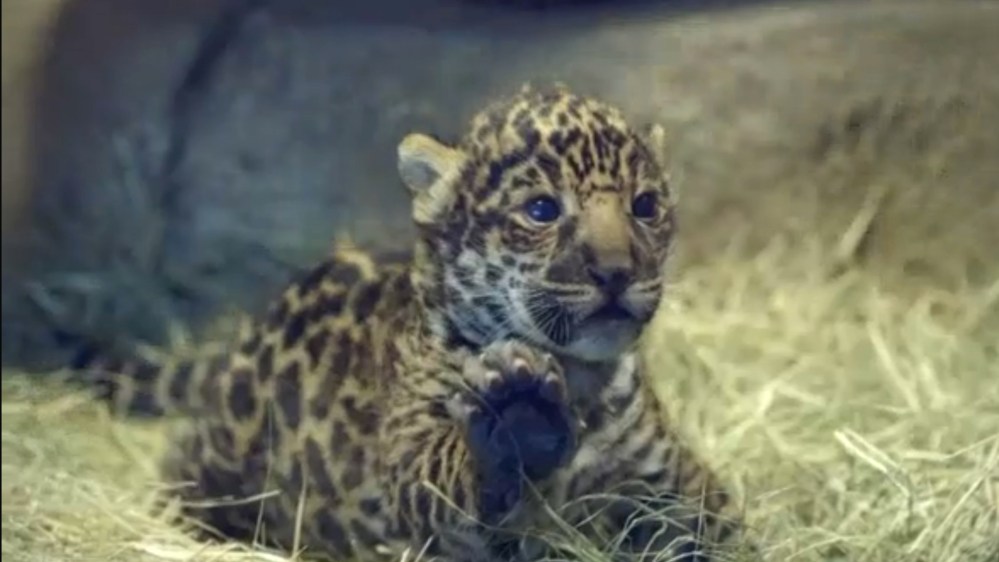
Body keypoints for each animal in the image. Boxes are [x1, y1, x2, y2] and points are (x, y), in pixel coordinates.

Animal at [70, 83, 743, 562]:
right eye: (542, 210)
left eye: (646, 206)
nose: (616, 271)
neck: (583, 383)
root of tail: (246, 335)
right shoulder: (414, 467)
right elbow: (443, 473)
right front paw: (520, 415)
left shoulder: (677, 484)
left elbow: (716, 525)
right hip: (224, 450)